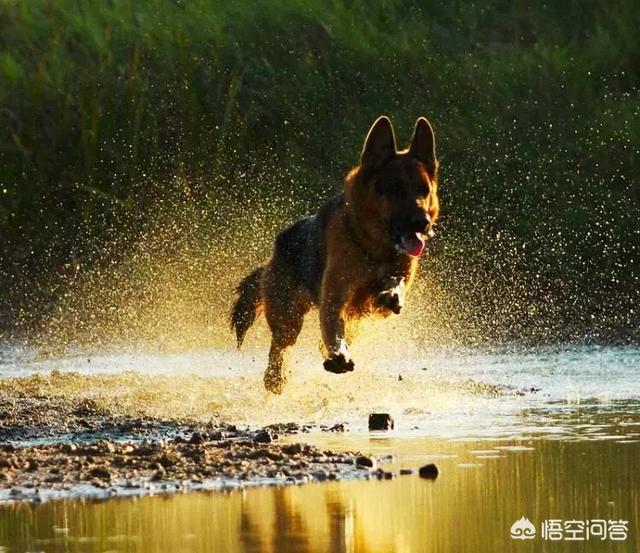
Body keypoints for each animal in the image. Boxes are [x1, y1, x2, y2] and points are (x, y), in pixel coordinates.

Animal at [231, 116, 440, 392]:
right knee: (281, 346)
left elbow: (395, 285)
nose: (422, 223)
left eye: (423, 190)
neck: (371, 247)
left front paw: (390, 293)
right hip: (287, 317)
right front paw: (339, 355)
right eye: (395, 189)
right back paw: (276, 378)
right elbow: (332, 330)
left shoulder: (386, 294)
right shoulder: (334, 299)